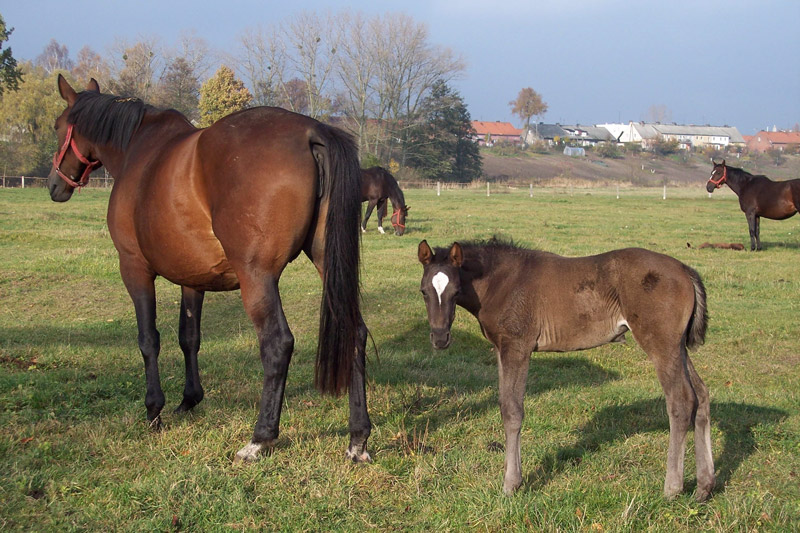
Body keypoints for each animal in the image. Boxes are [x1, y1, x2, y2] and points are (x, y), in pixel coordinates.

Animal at [48, 77, 374, 464]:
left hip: (257, 278)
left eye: (57, 126)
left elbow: (148, 339)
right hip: (327, 263)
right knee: (354, 333)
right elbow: (189, 337)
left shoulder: (134, 268)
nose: (54, 185)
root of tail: (312, 132)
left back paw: (260, 439)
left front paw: (154, 410)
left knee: (277, 344)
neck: (137, 152)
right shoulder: (193, 279)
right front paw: (189, 399)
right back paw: (357, 439)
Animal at [418, 239, 712, 500]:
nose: (440, 338)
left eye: (456, 290)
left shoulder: (518, 347)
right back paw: (704, 486)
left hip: (661, 344)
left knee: (681, 401)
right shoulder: (501, 349)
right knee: (701, 395)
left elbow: (513, 411)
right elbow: (503, 405)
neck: (502, 282)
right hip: (678, 347)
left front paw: (511, 484)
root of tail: (684, 269)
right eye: (423, 291)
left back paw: (672, 488)